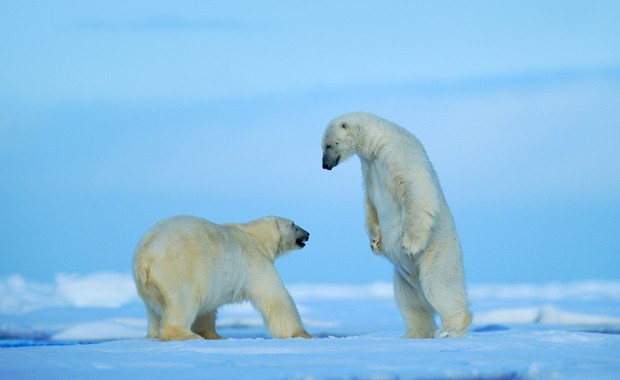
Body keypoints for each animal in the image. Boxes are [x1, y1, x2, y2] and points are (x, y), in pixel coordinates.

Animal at [134, 214, 312, 342]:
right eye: (293, 224)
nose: (308, 234)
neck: (257, 238)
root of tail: (145, 256)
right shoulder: (256, 262)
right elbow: (276, 296)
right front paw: (303, 334)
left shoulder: (210, 280)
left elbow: (206, 310)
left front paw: (215, 335)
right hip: (179, 269)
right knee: (183, 302)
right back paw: (187, 335)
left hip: (149, 287)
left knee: (154, 310)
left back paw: (154, 333)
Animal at [322, 111, 472, 336]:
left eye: (329, 145)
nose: (325, 165)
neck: (376, 142)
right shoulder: (368, 167)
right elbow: (370, 203)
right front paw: (375, 243)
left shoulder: (397, 153)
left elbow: (415, 190)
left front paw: (409, 245)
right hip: (404, 279)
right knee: (410, 303)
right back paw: (413, 334)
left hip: (437, 255)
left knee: (440, 286)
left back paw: (450, 329)